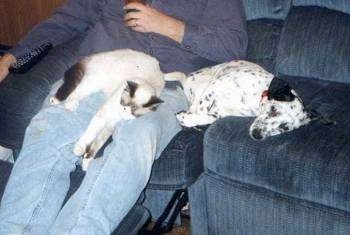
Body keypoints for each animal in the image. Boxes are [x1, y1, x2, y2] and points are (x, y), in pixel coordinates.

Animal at [167, 61, 312, 141]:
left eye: (284, 127)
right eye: (273, 109)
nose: (257, 135)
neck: (254, 98)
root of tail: (185, 78)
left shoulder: (219, 112)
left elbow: (210, 117)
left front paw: (191, 120)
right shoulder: (215, 86)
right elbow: (201, 109)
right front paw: (188, 119)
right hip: (207, 83)